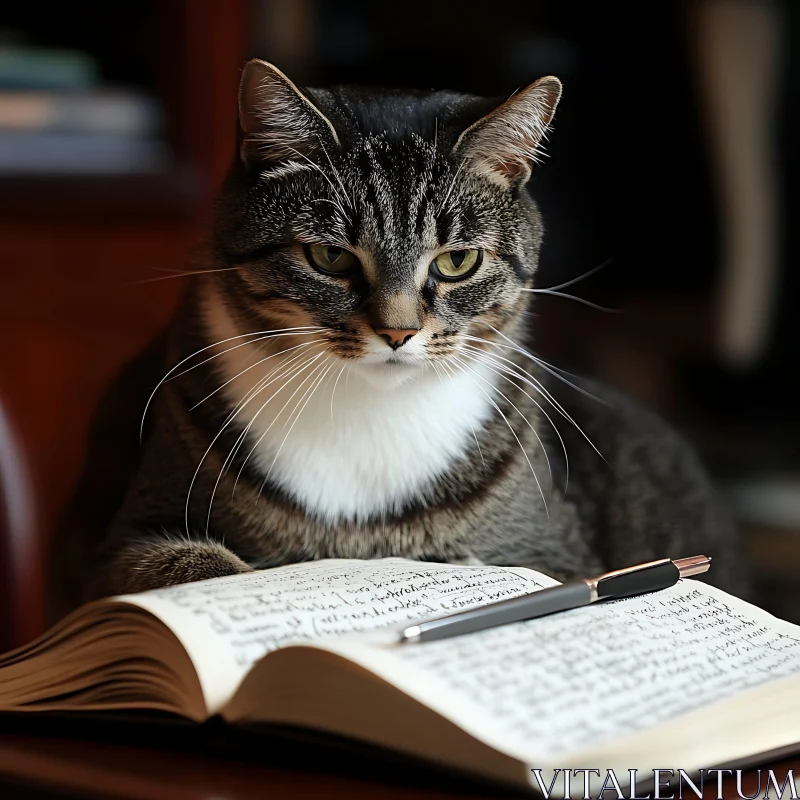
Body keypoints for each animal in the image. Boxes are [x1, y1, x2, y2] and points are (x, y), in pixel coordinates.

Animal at [50, 59, 744, 616]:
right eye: (329, 256)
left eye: (457, 261)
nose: (398, 330)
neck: (370, 415)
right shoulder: (115, 546)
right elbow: (193, 568)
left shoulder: (551, 551)